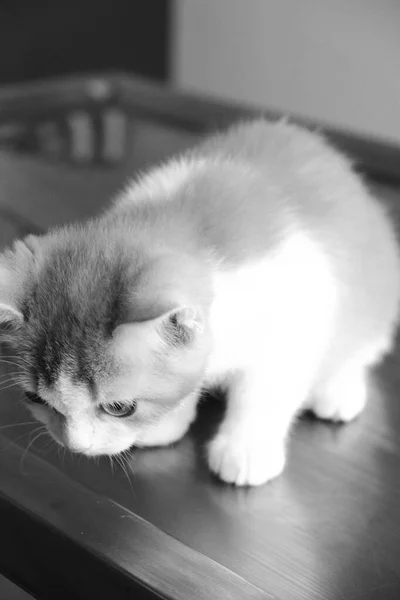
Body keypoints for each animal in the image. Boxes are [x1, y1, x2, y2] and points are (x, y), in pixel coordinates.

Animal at [0, 119, 400, 486]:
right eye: (35, 398)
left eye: (119, 408)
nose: (76, 446)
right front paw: (169, 422)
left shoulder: (298, 317)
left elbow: (264, 392)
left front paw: (246, 451)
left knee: (359, 346)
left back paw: (339, 390)